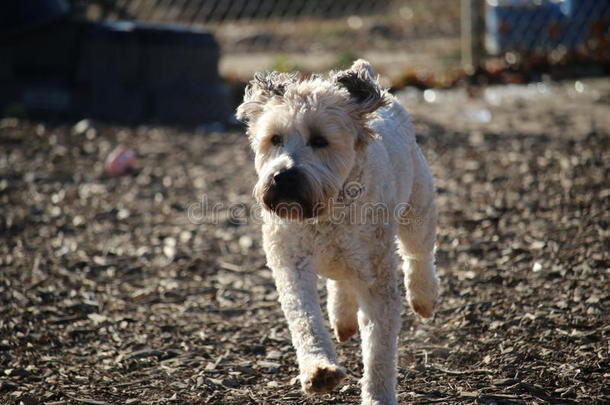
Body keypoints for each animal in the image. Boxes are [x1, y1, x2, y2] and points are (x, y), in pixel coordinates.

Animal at [235, 60, 440, 404]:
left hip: (418, 206)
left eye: (320, 140)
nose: (283, 177)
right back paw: (342, 320)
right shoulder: (291, 264)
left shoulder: (376, 278)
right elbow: (304, 319)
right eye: (275, 138)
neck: (325, 214)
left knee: (418, 253)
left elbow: (379, 347)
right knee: (340, 283)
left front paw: (378, 395)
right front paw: (319, 370)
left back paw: (423, 297)